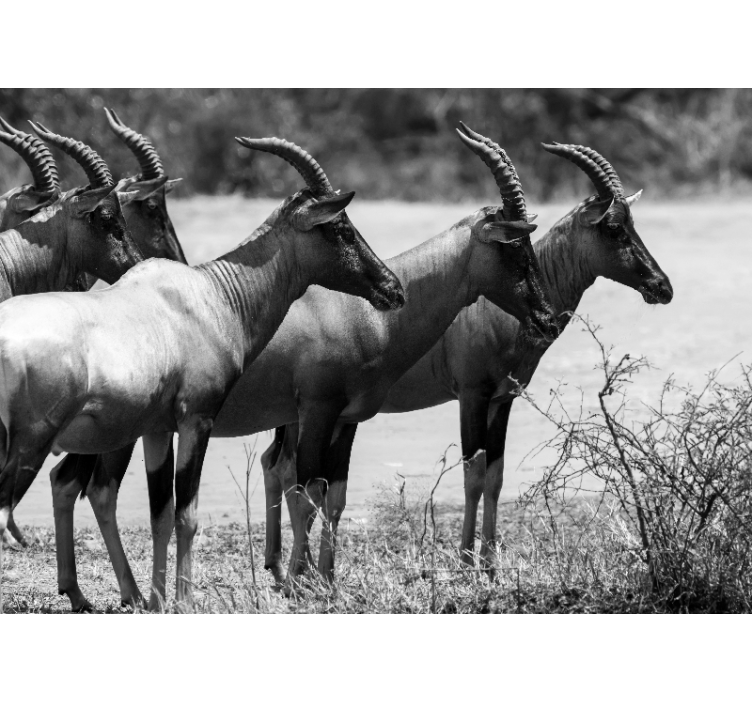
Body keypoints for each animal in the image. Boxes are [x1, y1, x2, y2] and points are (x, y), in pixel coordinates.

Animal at [0, 136, 405, 612]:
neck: (209, 296)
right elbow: (187, 514)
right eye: (340, 227)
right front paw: (184, 600)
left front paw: (158, 600)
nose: (393, 289)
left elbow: (161, 513)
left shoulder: (157, 429)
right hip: (32, 444)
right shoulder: (197, 420)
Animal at [51, 124, 560, 604]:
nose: (546, 319)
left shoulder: (347, 419)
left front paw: (326, 580)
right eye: (514, 247)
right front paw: (302, 580)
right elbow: (306, 494)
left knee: (71, 483)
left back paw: (90, 592)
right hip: (120, 434)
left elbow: (333, 496)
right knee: (96, 488)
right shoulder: (315, 410)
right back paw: (127, 593)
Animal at [265, 135, 674, 580]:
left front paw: (492, 564)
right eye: (613, 227)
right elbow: (473, 474)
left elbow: (495, 475)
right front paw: (466, 562)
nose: (662, 286)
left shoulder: (503, 399)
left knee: (274, 464)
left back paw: (277, 566)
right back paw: (288, 570)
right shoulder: (471, 396)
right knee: (286, 469)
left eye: (632, 224)